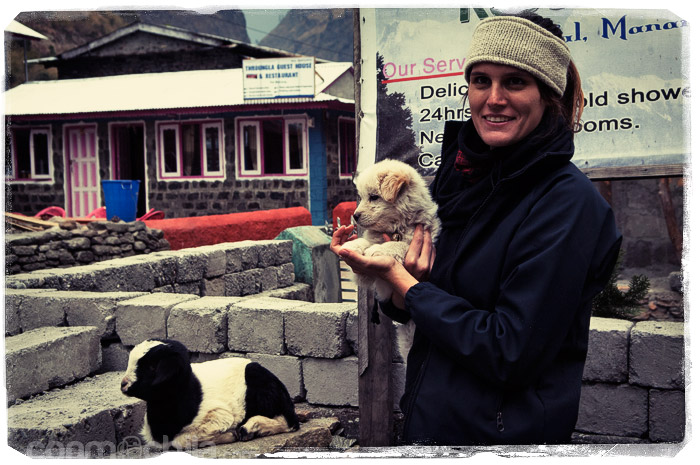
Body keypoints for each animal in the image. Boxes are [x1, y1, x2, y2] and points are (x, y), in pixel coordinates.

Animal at [340, 159, 442, 358]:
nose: (355, 216)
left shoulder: (419, 241)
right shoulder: (368, 275)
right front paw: (353, 246)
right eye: (361, 197)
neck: (395, 228)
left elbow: (401, 246)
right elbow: (366, 242)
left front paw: (379, 250)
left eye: (374, 197)